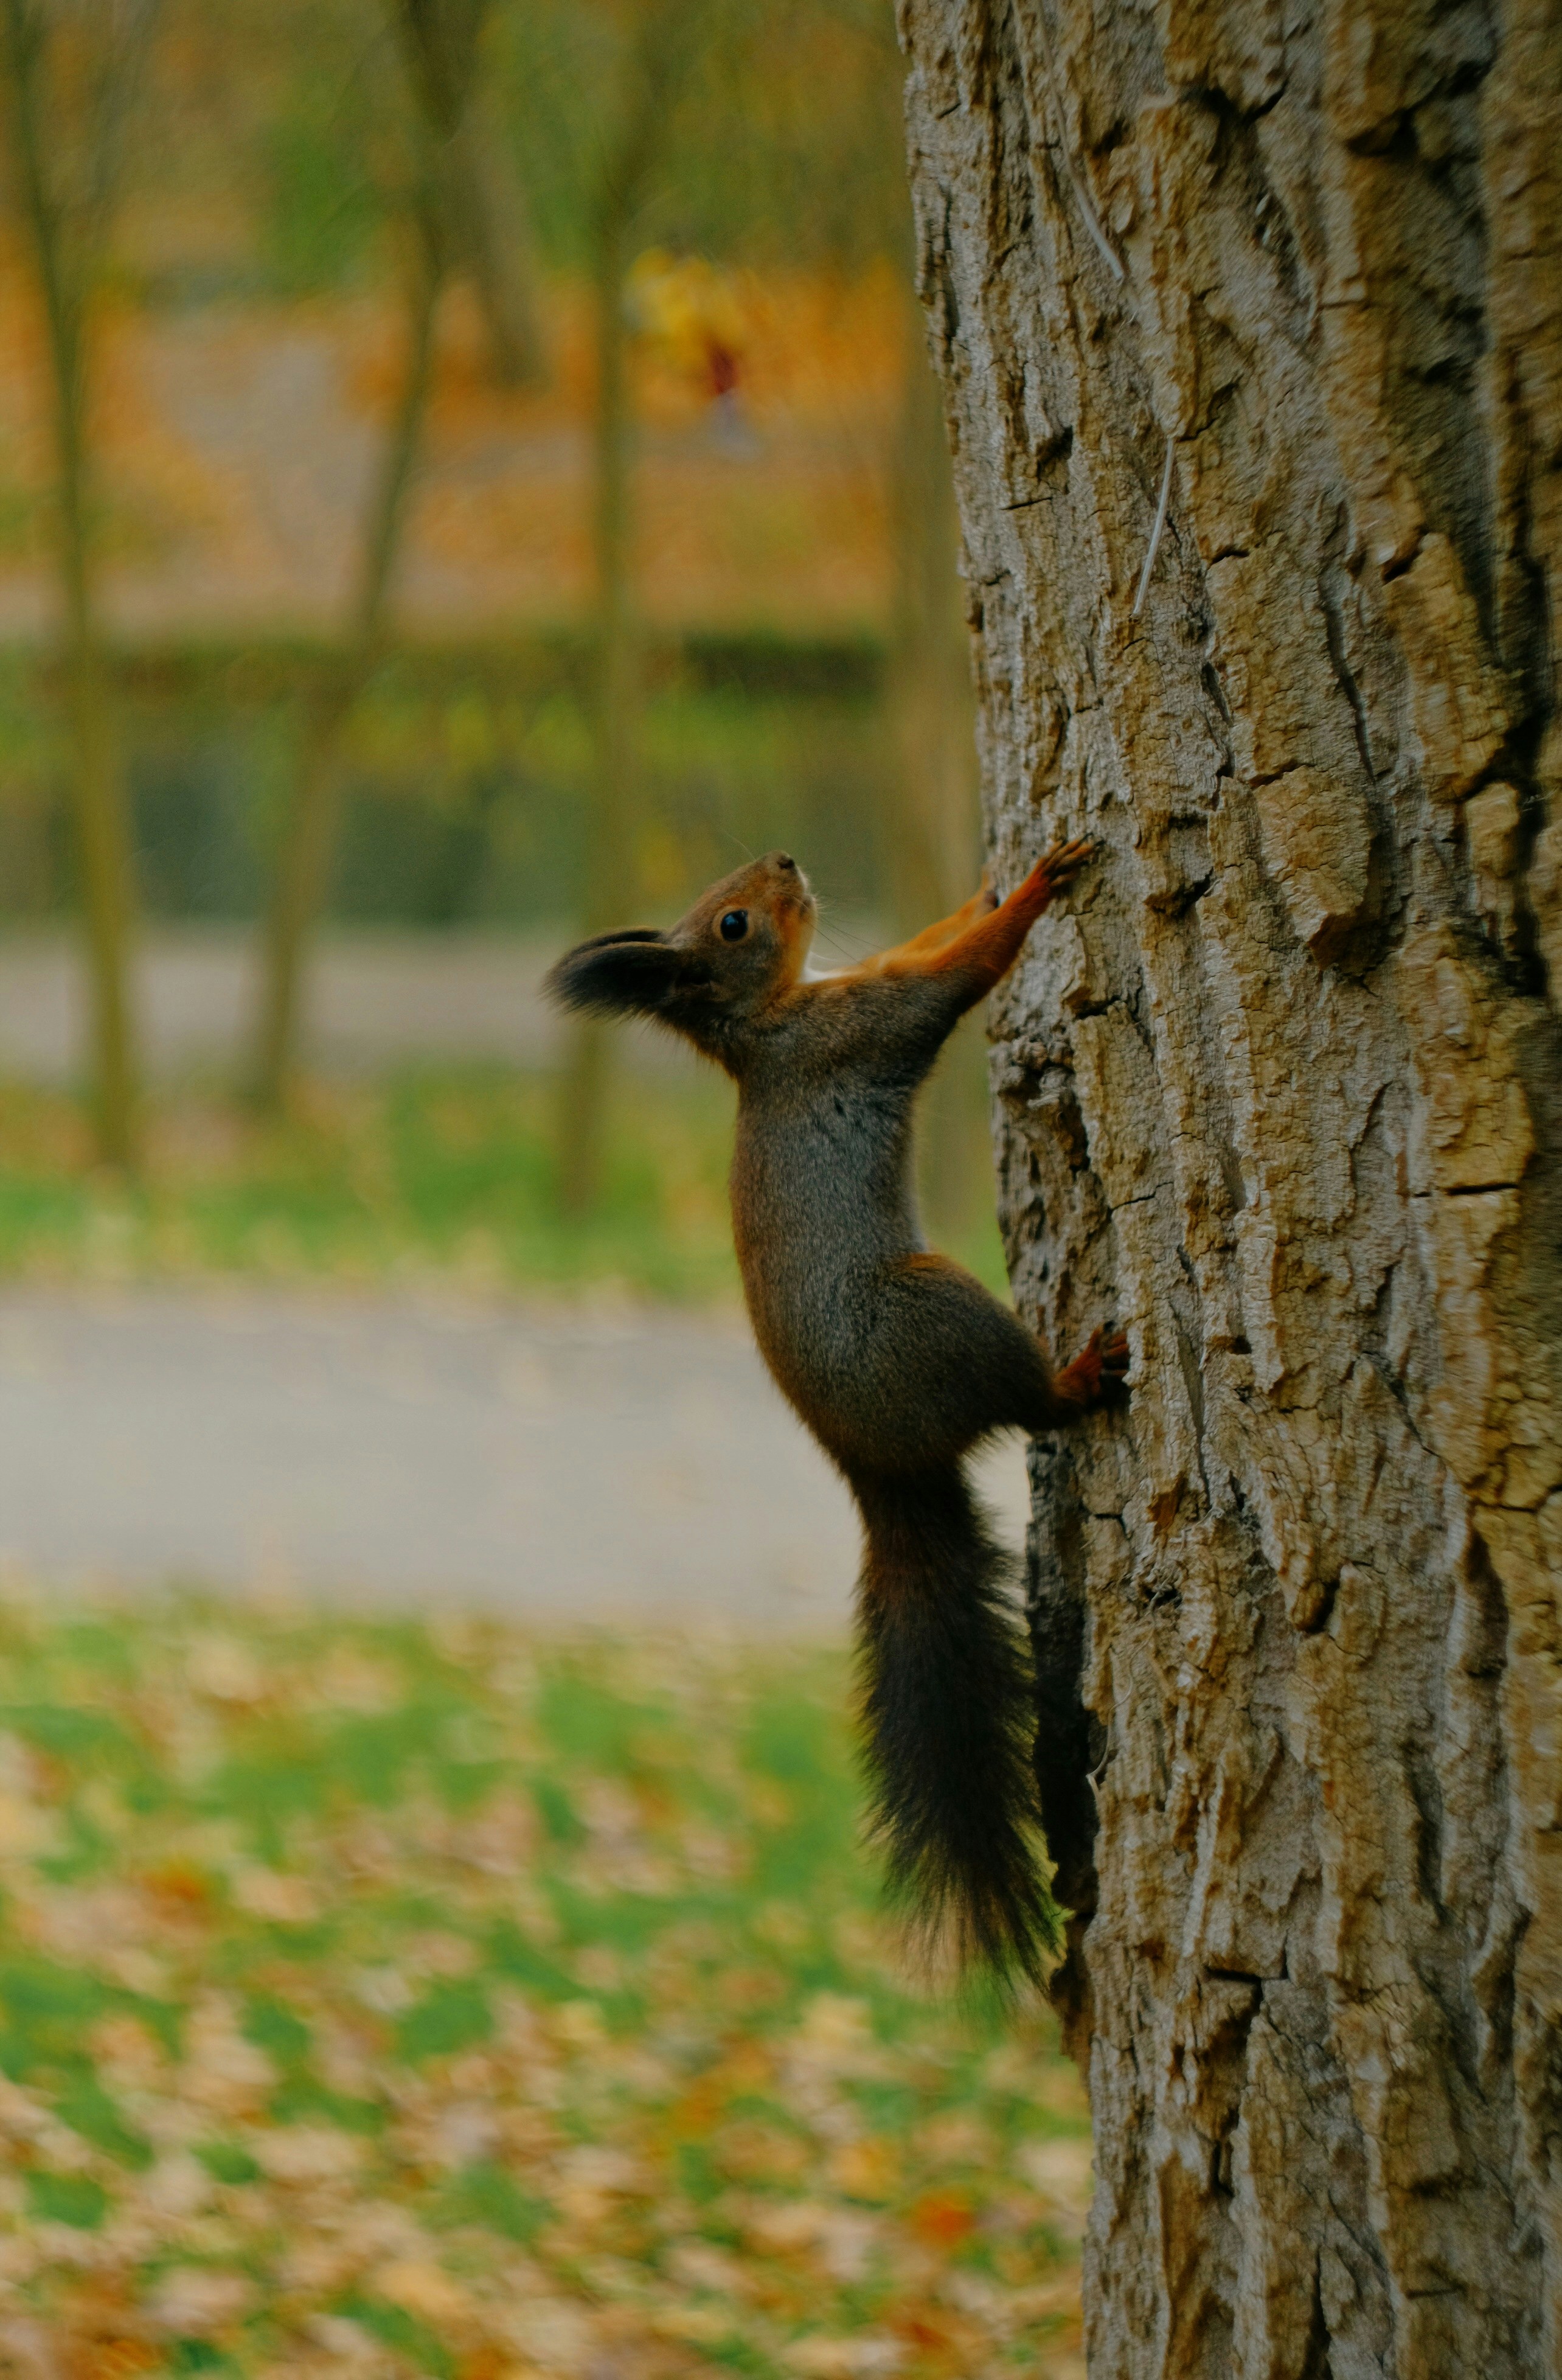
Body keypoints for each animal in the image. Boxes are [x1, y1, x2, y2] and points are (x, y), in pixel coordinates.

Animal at [546, 841, 1127, 1988]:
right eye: (732, 923)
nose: (784, 858)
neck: (774, 1016)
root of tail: (874, 1470)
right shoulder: (861, 1026)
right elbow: (957, 977)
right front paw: (1038, 886)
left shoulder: (858, 989)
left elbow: (929, 939)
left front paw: (983, 884)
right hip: (941, 1314)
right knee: (1028, 1401)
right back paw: (1079, 1376)